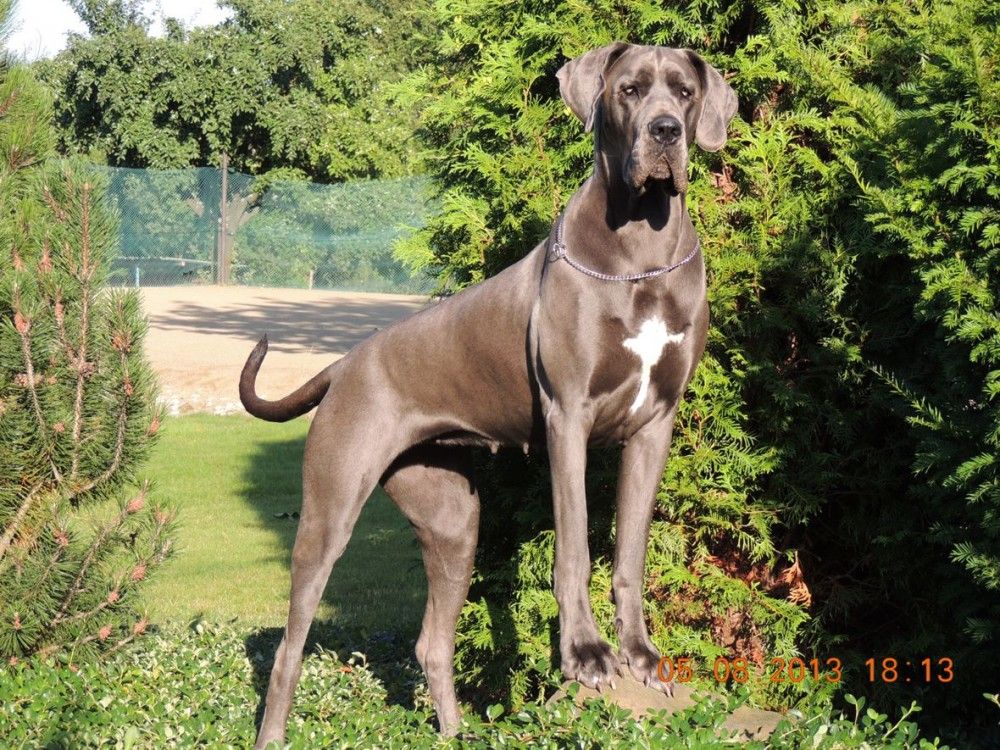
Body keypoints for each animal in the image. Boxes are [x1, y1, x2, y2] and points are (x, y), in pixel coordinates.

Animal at [241, 42, 737, 747]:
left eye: (686, 94)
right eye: (631, 90)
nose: (666, 131)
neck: (641, 251)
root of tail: (343, 365)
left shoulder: (654, 425)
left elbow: (631, 552)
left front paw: (641, 654)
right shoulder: (568, 418)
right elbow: (576, 547)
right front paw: (586, 655)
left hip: (453, 518)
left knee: (432, 643)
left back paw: (453, 731)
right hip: (330, 508)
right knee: (290, 645)